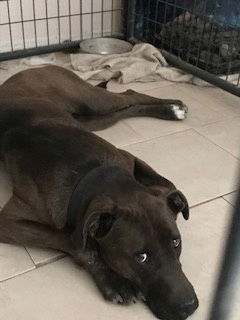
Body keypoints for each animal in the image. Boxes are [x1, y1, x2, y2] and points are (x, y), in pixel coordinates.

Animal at [0, 65, 198, 320]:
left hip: (92, 103)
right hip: (92, 118)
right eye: (141, 257)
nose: (189, 306)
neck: (89, 173)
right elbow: (72, 240)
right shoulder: (9, 222)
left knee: (129, 96)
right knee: (125, 104)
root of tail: (36, 67)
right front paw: (112, 279)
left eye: (176, 242)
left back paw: (172, 109)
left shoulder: (128, 157)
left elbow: (167, 183)